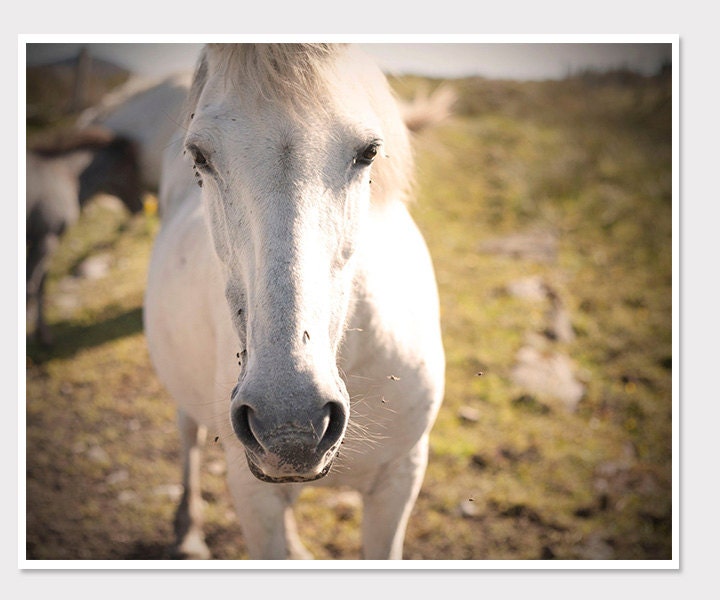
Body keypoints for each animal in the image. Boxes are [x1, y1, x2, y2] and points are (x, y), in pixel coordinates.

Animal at [26, 125, 144, 345]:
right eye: (130, 167)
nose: (140, 205)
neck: (64, 174)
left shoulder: (45, 240)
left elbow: (40, 286)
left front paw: (43, 334)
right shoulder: (46, 238)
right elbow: (32, 285)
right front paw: (42, 336)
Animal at [143, 43, 446, 560]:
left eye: (369, 151)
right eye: (198, 154)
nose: (291, 425)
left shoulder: (401, 477)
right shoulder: (252, 494)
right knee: (188, 438)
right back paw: (188, 533)